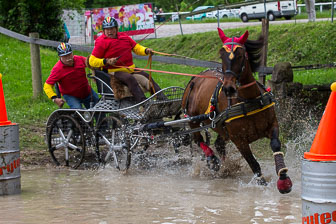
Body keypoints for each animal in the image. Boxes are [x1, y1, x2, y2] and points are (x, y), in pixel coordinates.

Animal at [181, 28, 292, 193]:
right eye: (221, 55)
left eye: (240, 55)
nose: (228, 88)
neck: (248, 100)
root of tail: (195, 78)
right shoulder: (239, 140)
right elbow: (253, 163)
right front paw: (262, 183)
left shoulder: (272, 125)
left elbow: (275, 145)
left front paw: (284, 179)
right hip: (193, 120)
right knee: (198, 139)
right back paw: (212, 159)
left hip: (221, 127)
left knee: (219, 144)